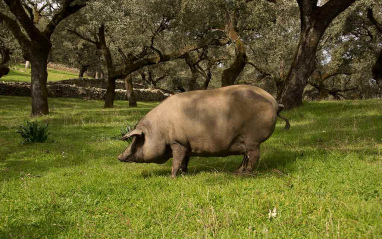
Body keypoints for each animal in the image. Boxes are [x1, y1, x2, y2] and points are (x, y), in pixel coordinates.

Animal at [116, 84, 290, 177]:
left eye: (138, 139)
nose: (119, 157)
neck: (160, 130)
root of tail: (274, 102)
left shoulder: (177, 142)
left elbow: (176, 160)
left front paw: (172, 177)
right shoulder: (186, 144)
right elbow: (184, 160)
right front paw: (184, 173)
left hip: (253, 139)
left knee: (254, 156)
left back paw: (243, 174)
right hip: (247, 141)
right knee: (246, 156)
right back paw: (237, 172)